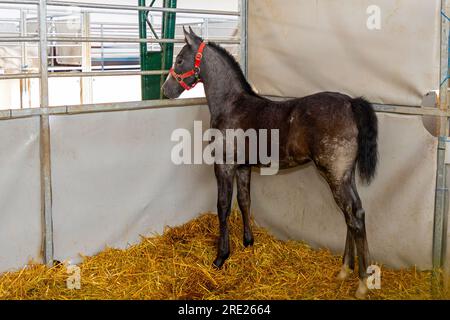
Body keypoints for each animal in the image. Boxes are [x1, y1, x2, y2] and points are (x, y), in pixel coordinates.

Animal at [162, 28, 376, 298]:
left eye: (180, 59)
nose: (166, 89)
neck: (232, 105)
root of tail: (350, 102)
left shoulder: (224, 165)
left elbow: (223, 206)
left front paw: (221, 257)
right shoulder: (243, 166)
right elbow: (244, 201)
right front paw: (248, 243)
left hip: (335, 175)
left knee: (353, 216)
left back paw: (362, 283)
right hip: (346, 176)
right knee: (355, 213)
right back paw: (345, 271)